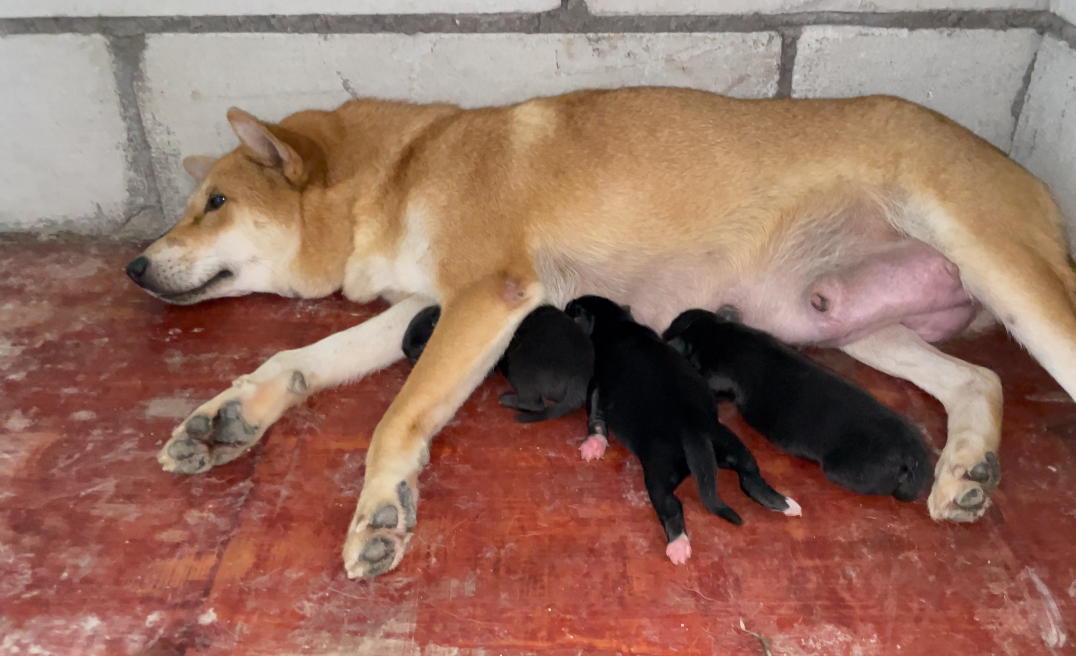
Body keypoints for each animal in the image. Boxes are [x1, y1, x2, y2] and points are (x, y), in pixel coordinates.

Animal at [400, 303, 593, 421]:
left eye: (421, 349)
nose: (410, 357)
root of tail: (580, 380)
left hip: (520, 365)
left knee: (535, 404)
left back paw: (507, 399)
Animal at [568, 294, 796, 563]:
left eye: (570, 309)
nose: (563, 307)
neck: (618, 323)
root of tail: (693, 429)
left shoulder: (597, 383)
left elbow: (595, 414)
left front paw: (593, 445)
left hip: (658, 474)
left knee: (671, 506)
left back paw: (678, 545)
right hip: (731, 445)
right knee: (752, 479)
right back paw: (787, 504)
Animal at [662, 309, 933, 498]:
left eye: (670, 328)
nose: (662, 334)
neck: (717, 332)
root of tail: (913, 453)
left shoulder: (718, 377)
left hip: (848, 472)